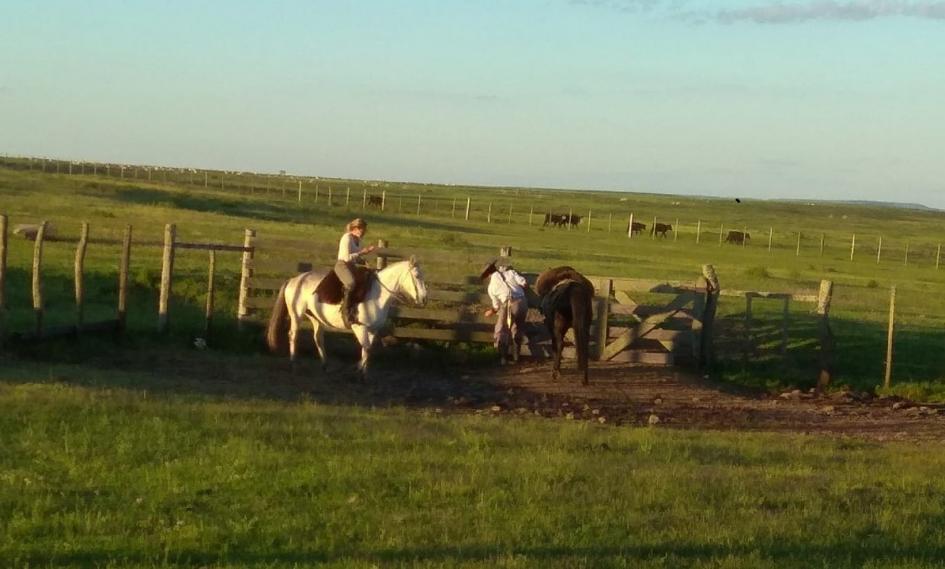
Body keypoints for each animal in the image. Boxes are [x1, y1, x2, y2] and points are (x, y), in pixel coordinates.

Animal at [266, 258, 428, 378]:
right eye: (417, 276)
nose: (424, 299)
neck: (377, 293)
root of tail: (294, 280)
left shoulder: (373, 330)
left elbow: (368, 349)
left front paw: (362, 371)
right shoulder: (359, 327)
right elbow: (366, 348)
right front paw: (361, 373)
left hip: (315, 318)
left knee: (318, 338)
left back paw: (325, 365)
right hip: (296, 315)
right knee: (293, 335)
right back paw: (294, 365)